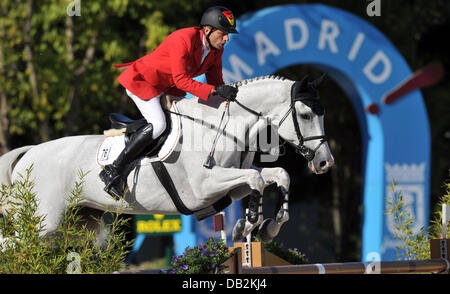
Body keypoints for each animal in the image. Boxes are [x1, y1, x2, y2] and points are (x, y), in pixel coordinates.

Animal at [0, 74, 334, 246]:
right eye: (305, 115)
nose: (324, 163)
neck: (225, 125)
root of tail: (28, 152)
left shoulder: (229, 182)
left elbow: (274, 176)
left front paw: (264, 226)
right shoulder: (204, 187)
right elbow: (258, 178)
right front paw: (250, 224)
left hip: (78, 223)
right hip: (43, 221)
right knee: (12, 245)